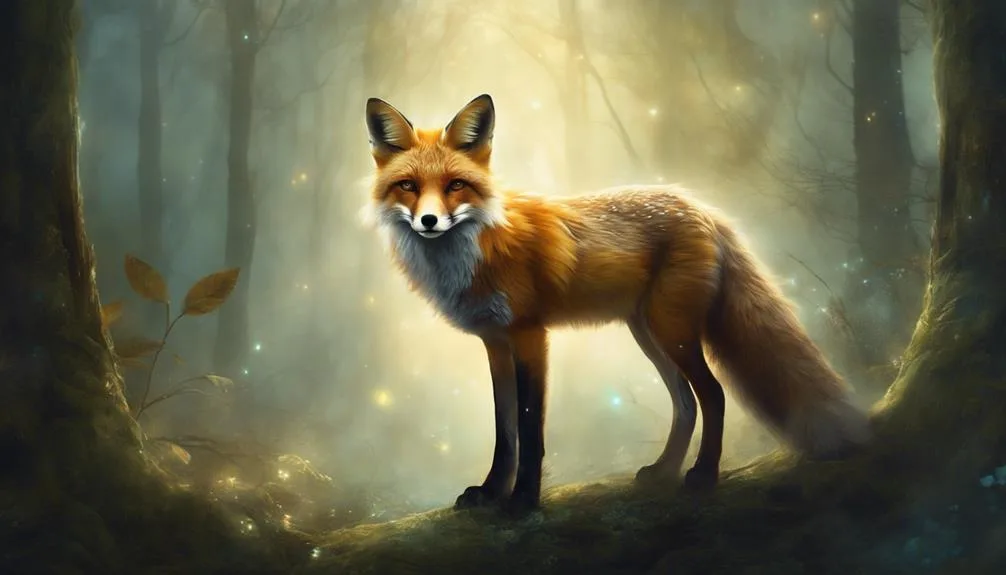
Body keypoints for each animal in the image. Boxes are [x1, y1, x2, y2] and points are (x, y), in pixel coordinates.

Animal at [362, 93, 871, 514]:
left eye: (455, 186)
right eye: (408, 186)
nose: (429, 221)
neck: (477, 249)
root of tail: (701, 207)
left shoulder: (529, 336)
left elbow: (529, 429)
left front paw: (523, 499)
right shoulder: (494, 342)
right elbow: (504, 432)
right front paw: (490, 493)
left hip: (672, 331)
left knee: (713, 394)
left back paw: (703, 475)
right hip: (648, 333)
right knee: (685, 403)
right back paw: (663, 471)